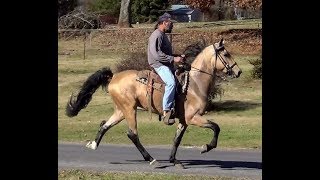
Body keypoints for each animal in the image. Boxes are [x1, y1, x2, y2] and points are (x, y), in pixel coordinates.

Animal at [65, 38, 240, 169]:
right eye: (226, 53)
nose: (238, 72)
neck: (194, 84)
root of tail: (113, 77)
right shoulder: (193, 118)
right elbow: (216, 127)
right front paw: (206, 147)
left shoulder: (184, 121)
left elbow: (177, 140)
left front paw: (174, 160)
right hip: (130, 109)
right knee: (132, 134)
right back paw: (151, 159)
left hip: (121, 111)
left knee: (104, 125)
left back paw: (93, 144)